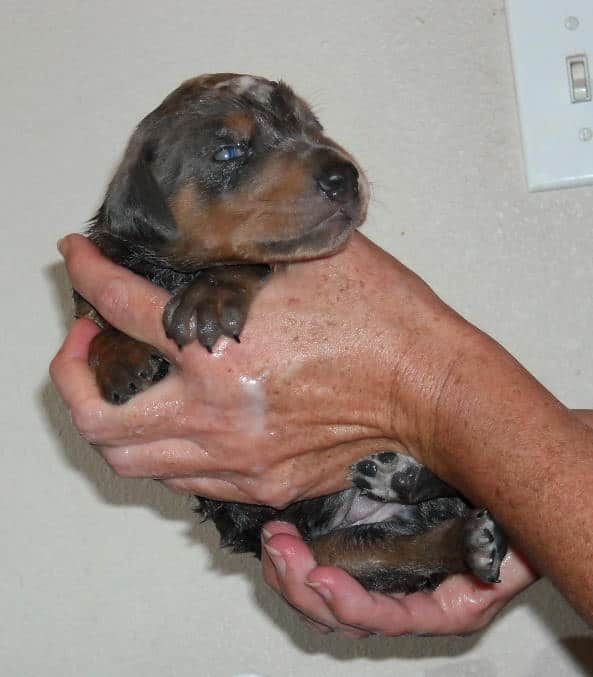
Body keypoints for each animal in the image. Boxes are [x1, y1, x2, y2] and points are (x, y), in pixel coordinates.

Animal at [77, 74, 504, 592]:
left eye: (313, 126)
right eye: (229, 151)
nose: (344, 175)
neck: (174, 272)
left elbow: (246, 258)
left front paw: (209, 298)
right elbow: (94, 322)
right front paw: (120, 359)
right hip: (337, 554)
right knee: (407, 550)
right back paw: (450, 525)